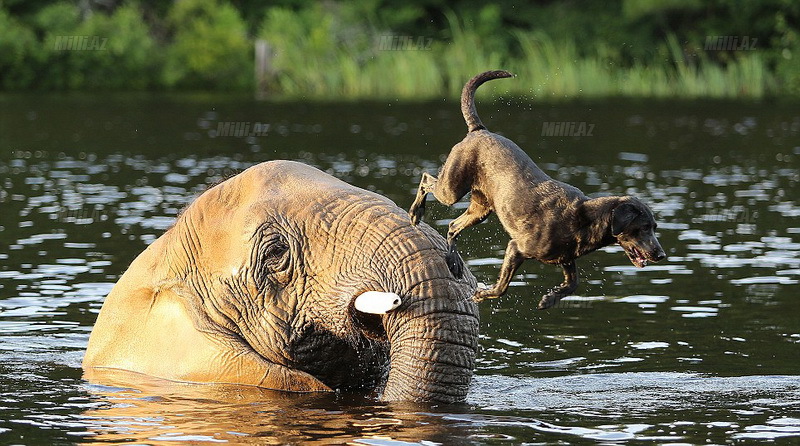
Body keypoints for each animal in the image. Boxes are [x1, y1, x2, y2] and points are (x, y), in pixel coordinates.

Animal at [410, 70, 664, 310]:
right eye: (642, 227)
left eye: (654, 227)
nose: (661, 255)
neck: (584, 219)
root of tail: (478, 130)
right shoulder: (516, 248)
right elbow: (502, 287)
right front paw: (482, 294)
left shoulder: (565, 259)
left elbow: (574, 282)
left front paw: (550, 299)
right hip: (452, 188)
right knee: (425, 179)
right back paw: (415, 213)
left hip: (481, 209)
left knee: (453, 226)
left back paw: (453, 261)